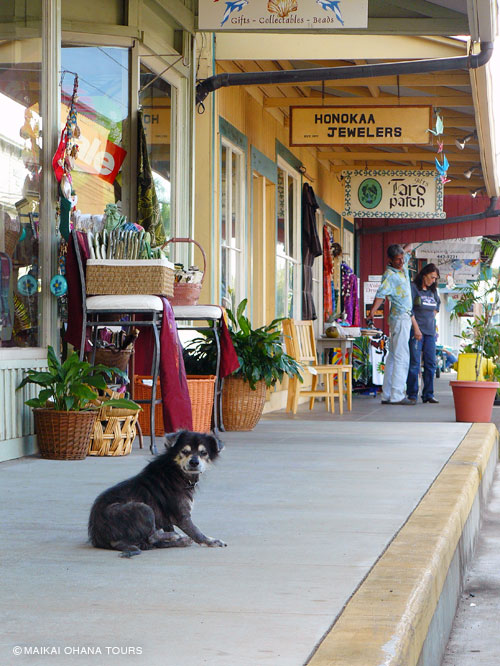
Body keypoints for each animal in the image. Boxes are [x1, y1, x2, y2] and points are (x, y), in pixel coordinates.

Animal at [87, 428, 225, 552]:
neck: (176, 471)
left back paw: (180, 540)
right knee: (152, 537)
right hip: (143, 508)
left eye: (203, 453)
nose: (194, 462)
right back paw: (175, 537)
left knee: (153, 541)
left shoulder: (168, 519)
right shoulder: (182, 516)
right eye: (185, 451)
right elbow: (196, 532)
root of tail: (101, 538)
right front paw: (212, 541)